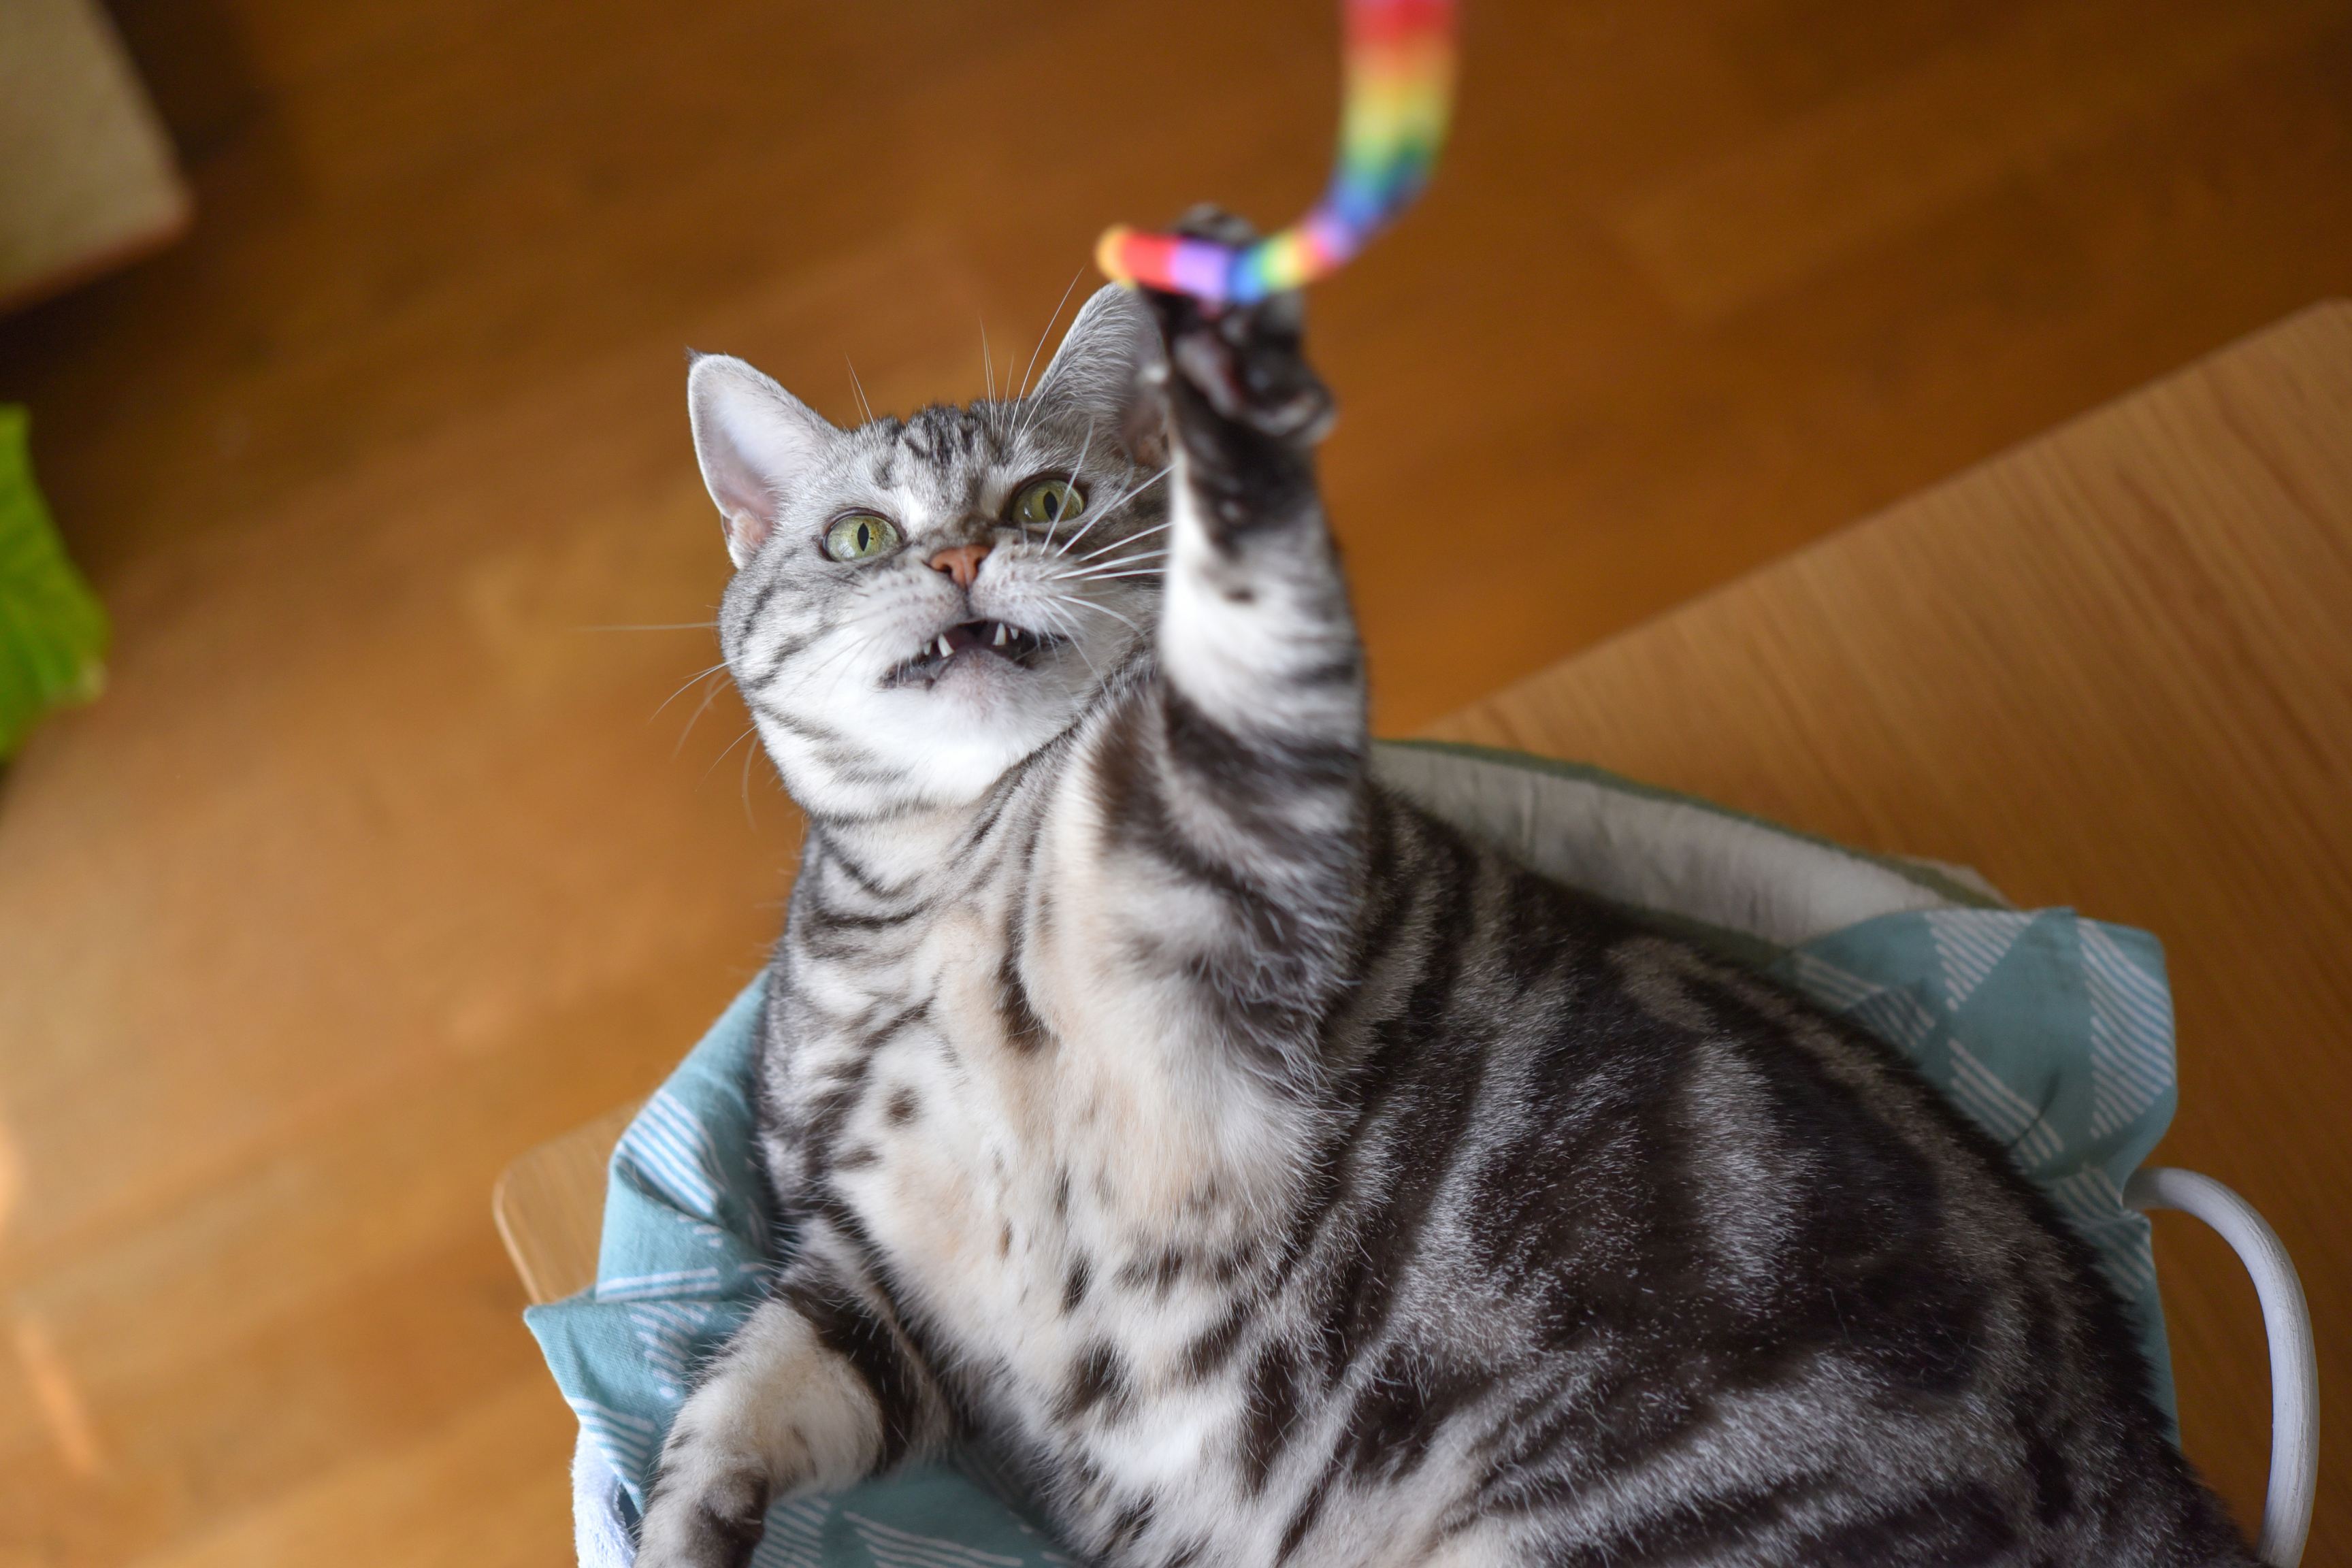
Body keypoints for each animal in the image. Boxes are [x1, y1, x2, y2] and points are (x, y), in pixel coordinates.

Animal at [635, 220, 2248, 1568]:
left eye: (1046, 498)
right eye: (861, 535)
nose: (969, 552)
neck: (936, 890)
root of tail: (2144, 1459)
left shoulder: (1241, 892)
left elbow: (1176, 753)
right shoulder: (878, 1277)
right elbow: (744, 1395)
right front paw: (682, 1523)